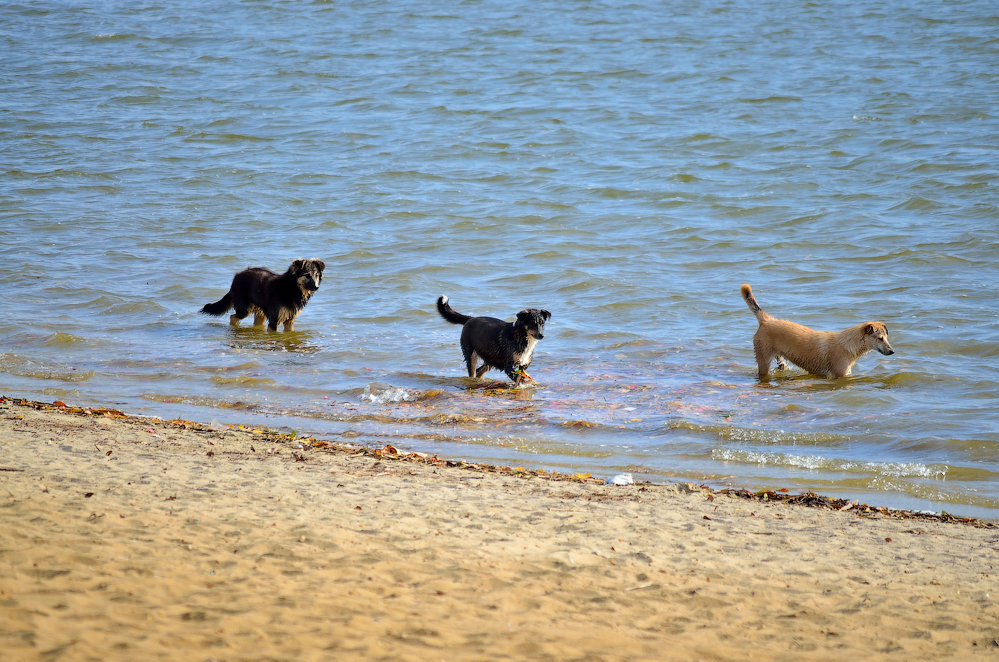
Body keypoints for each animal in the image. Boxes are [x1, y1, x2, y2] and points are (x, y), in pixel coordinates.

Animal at [740, 284, 896, 382]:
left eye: (886, 337)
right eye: (880, 338)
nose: (892, 351)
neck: (849, 344)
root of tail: (766, 320)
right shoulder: (839, 374)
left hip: (780, 360)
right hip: (763, 358)